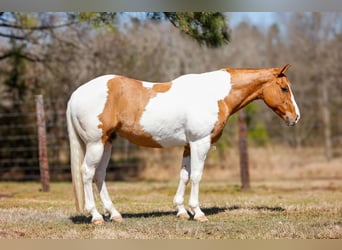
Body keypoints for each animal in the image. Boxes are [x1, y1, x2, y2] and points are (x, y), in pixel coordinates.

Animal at [66, 64, 300, 225]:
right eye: (284, 88)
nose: (295, 117)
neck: (214, 94)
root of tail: (75, 94)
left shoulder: (189, 145)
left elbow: (184, 175)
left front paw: (181, 210)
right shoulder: (200, 143)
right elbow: (196, 176)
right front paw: (198, 212)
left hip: (107, 143)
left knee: (99, 175)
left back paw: (114, 214)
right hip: (95, 144)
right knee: (87, 173)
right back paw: (96, 216)